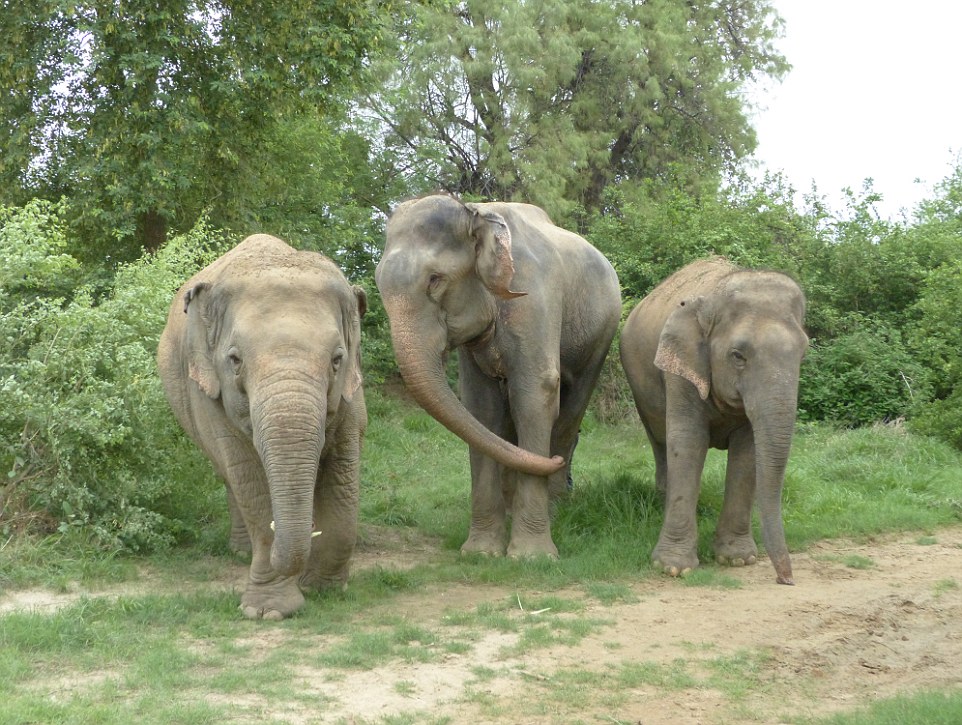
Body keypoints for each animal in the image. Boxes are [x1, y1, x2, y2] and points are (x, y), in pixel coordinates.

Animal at [158, 235, 368, 620]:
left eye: (337, 359)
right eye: (235, 360)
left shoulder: (351, 392)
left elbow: (343, 471)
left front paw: (324, 589)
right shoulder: (207, 390)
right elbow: (247, 476)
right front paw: (266, 611)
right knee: (228, 474)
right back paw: (241, 552)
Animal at [372, 192, 620, 556]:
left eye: (435, 280)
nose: (555, 462)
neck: (476, 212)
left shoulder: (534, 297)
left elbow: (535, 394)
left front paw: (530, 557)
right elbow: (482, 408)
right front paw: (480, 552)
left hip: (602, 333)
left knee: (571, 408)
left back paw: (556, 504)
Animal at [620, 258, 808, 584]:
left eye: (803, 354)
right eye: (737, 356)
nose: (787, 580)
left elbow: (747, 452)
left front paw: (738, 560)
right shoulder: (681, 371)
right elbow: (687, 443)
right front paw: (672, 567)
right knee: (660, 442)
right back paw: (662, 498)